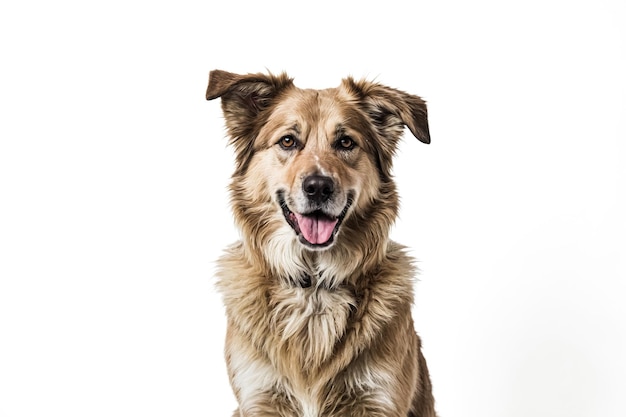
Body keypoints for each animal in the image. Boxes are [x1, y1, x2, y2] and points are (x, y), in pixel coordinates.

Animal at [205, 70, 434, 414]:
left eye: (345, 142)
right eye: (288, 141)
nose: (318, 187)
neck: (313, 286)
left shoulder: (378, 398)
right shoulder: (260, 397)